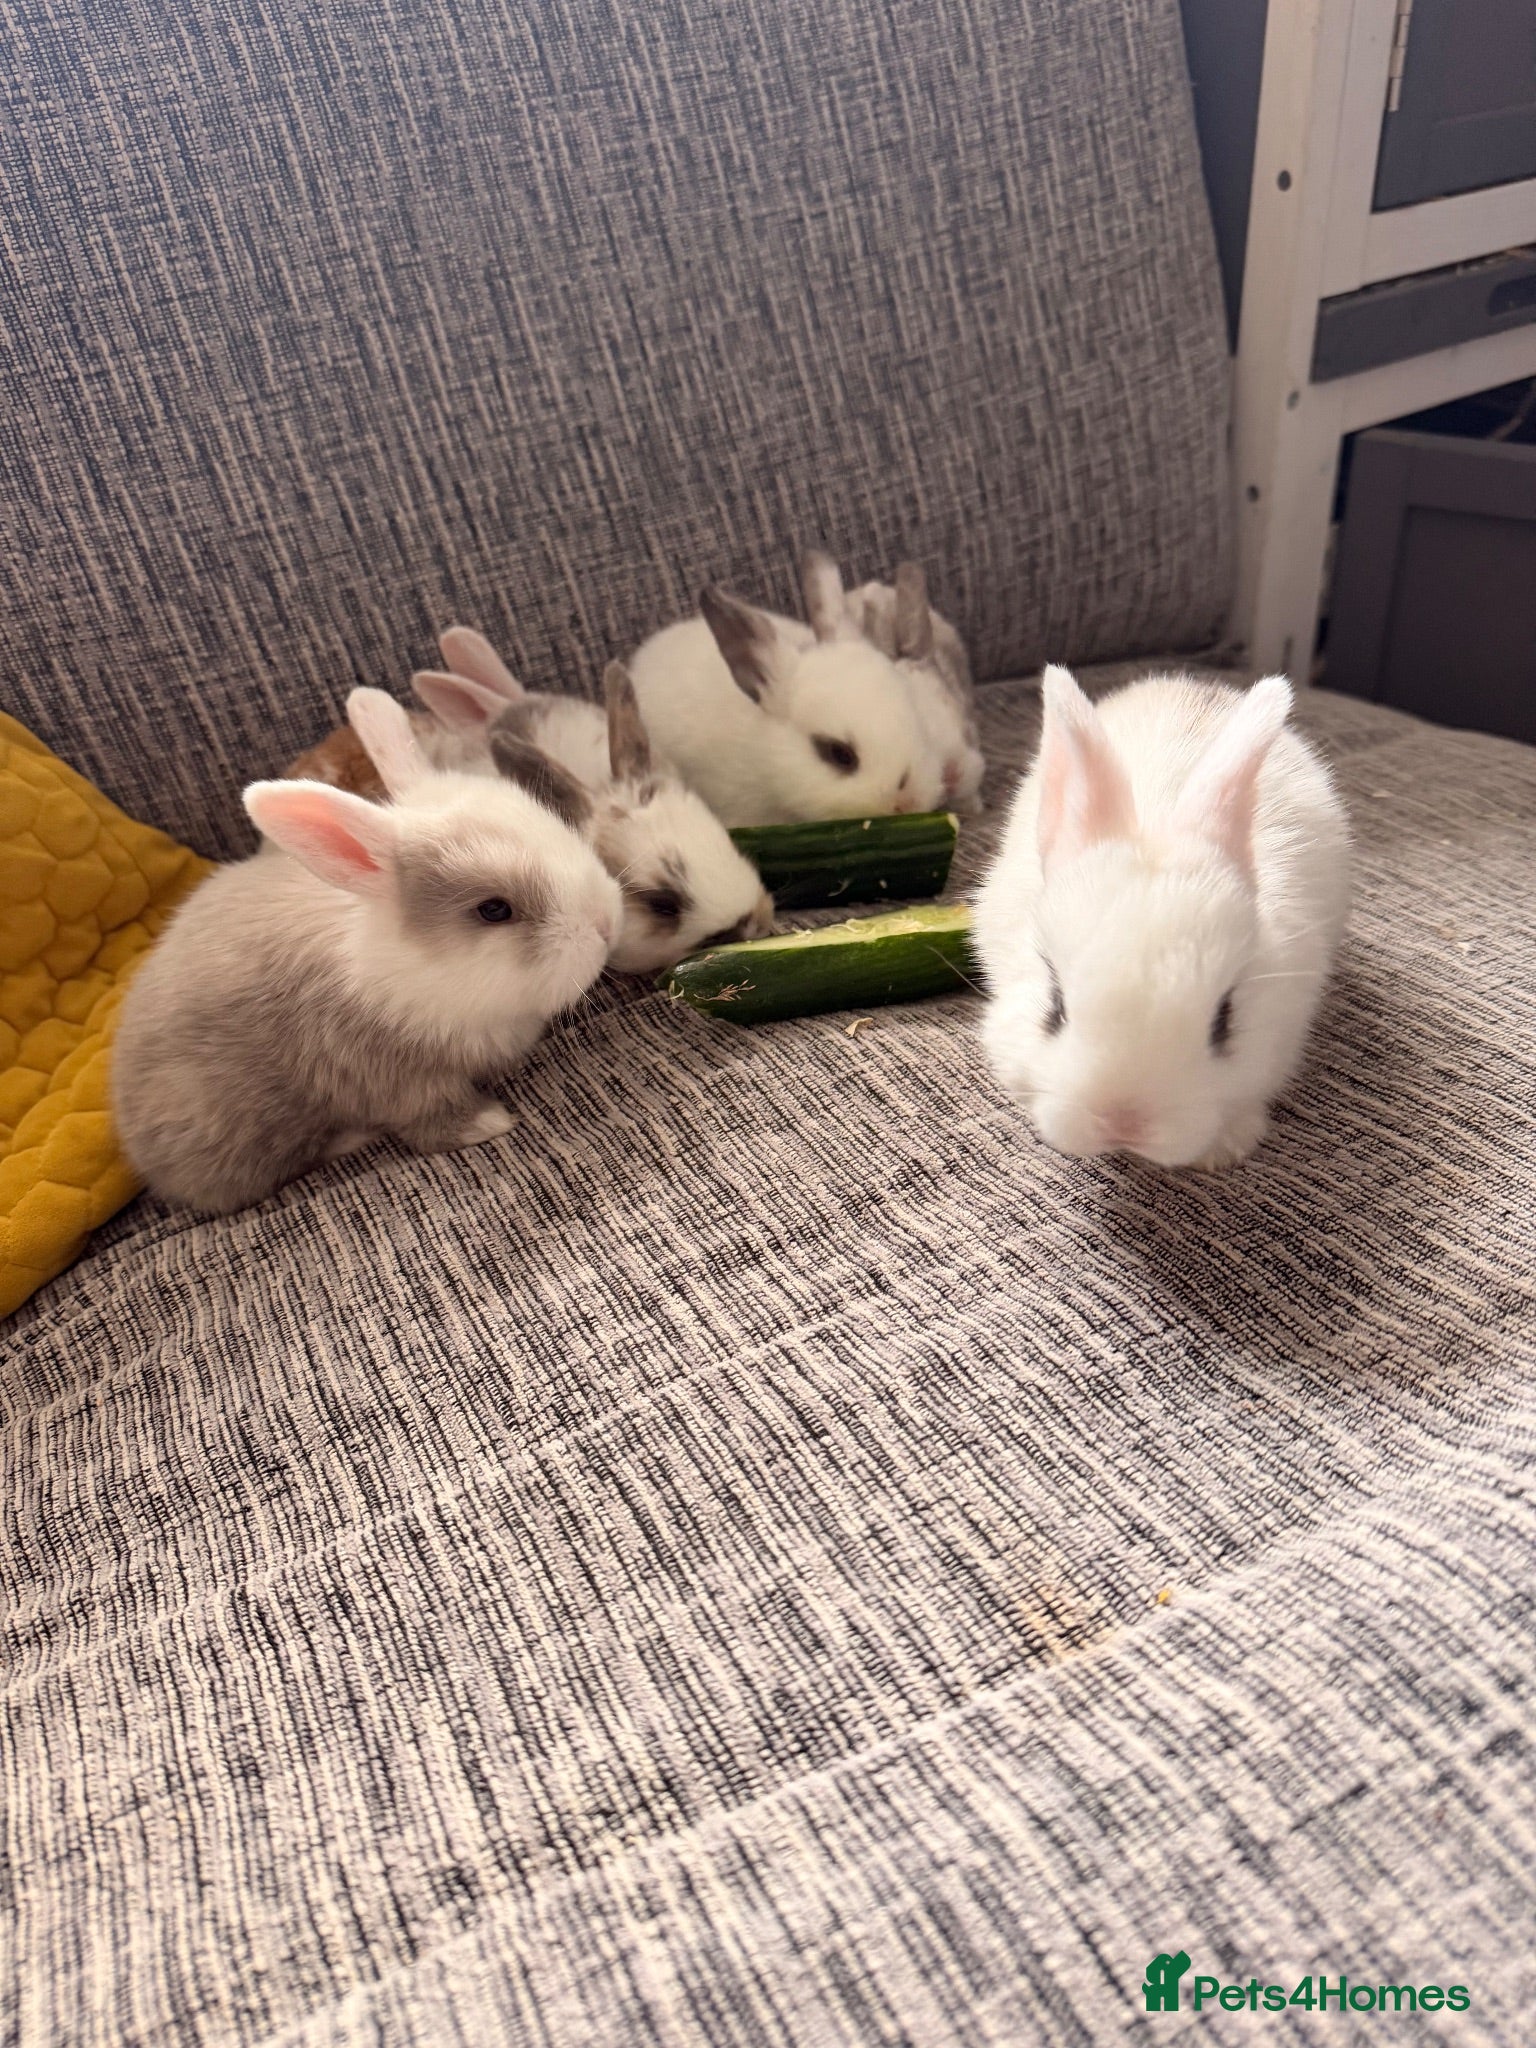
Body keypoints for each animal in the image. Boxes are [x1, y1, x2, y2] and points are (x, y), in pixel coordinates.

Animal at [113, 689, 621, 1213]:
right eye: (494, 910)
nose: (607, 924)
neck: (421, 970)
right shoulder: (395, 1078)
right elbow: (435, 1119)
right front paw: (490, 1123)